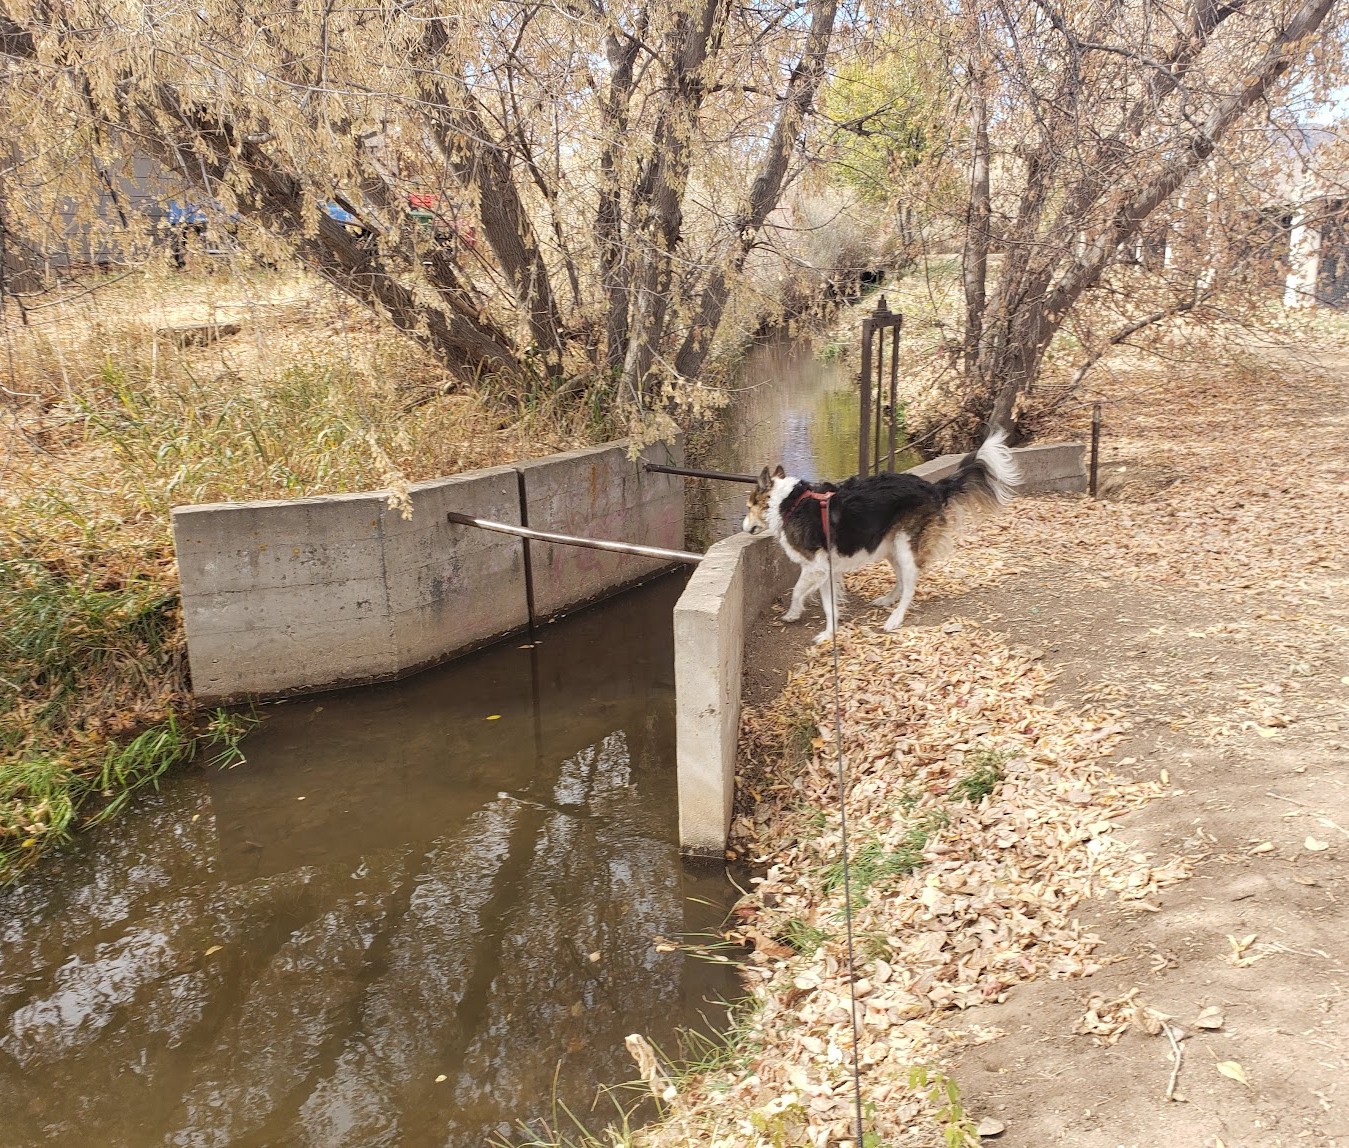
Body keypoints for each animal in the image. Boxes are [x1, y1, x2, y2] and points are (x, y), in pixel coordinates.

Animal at [742, 431, 1020, 643]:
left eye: (748, 506)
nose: (744, 527)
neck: (788, 503)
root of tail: (933, 487)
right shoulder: (826, 570)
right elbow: (829, 606)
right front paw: (830, 634)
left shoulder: (816, 567)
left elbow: (797, 591)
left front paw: (792, 613)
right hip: (890, 547)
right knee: (901, 581)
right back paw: (887, 599)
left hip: (905, 548)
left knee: (910, 586)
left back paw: (895, 618)